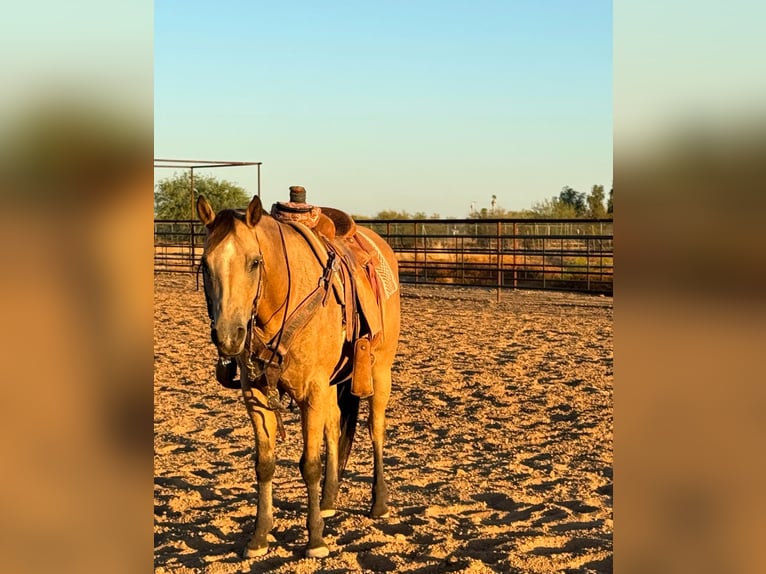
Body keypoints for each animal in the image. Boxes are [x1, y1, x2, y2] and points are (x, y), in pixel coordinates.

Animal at [195, 194, 401, 558]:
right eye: (205, 264)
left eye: (254, 262)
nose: (229, 336)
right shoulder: (256, 394)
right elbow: (265, 462)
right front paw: (259, 536)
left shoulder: (312, 391)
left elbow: (309, 465)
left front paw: (315, 539)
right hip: (333, 385)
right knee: (334, 426)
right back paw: (329, 500)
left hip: (379, 371)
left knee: (375, 428)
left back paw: (378, 503)